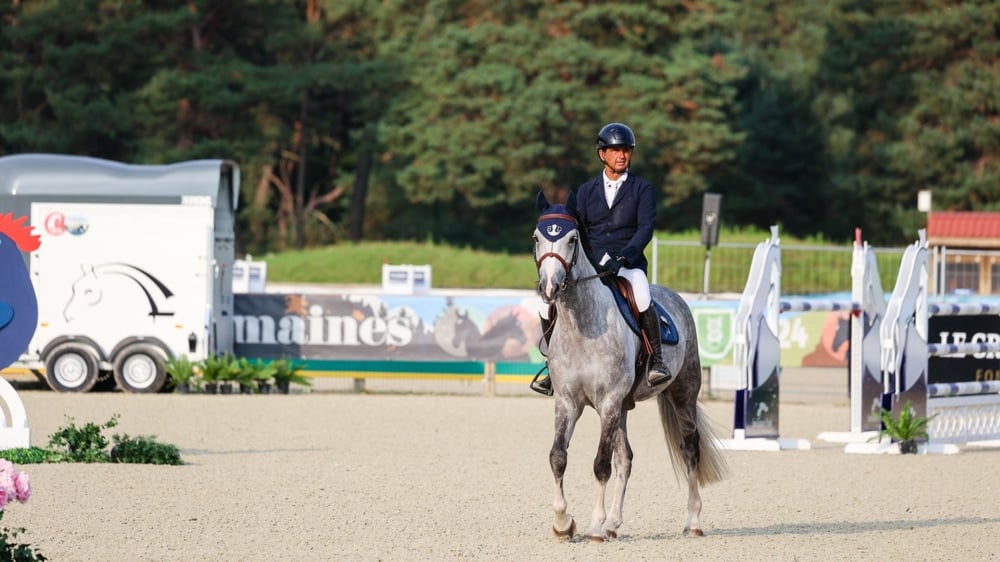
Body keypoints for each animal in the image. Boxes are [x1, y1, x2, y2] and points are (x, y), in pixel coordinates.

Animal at [532, 192, 728, 540]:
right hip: (624, 407)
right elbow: (558, 457)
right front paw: (563, 523)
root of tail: (676, 297)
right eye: (536, 238)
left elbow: (600, 464)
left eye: (572, 239)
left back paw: (693, 521)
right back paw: (613, 523)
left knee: (690, 448)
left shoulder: (608, 401)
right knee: (626, 458)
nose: (549, 288)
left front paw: (593, 527)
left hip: (682, 393)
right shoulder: (567, 402)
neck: (583, 325)